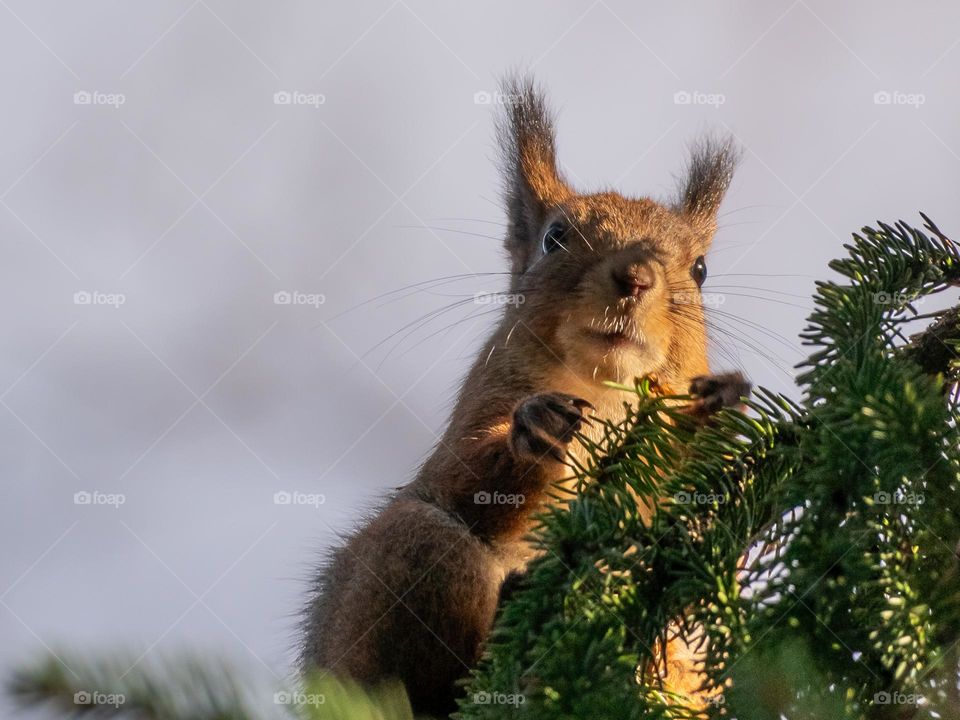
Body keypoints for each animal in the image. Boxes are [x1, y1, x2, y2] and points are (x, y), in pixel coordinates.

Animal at [300, 75, 749, 717]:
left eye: (702, 269)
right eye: (554, 238)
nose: (635, 278)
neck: (603, 392)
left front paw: (721, 405)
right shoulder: (484, 398)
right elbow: (465, 474)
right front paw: (534, 428)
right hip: (406, 561)